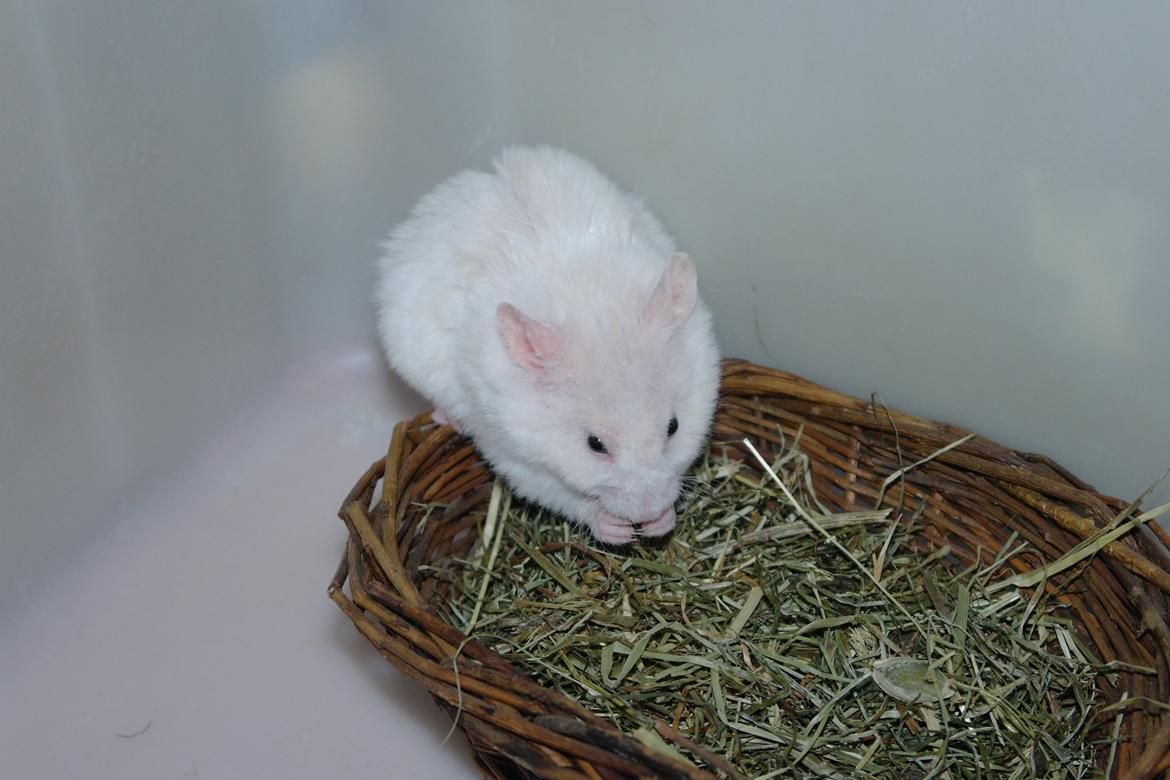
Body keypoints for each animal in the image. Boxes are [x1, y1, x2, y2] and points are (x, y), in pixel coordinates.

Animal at [375, 146, 720, 544]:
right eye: (594, 444)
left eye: (673, 426)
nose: (645, 514)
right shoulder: (508, 451)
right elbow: (561, 494)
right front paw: (618, 530)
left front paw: (660, 523)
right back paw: (447, 419)